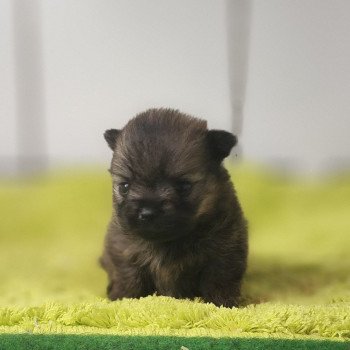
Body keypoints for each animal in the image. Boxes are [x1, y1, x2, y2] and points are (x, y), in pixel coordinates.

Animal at [100, 107, 249, 306]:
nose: (147, 212)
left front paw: (223, 302)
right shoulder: (123, 250)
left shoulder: (225, 248)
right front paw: (122, 298)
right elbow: (129, 276)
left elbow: (219, 278)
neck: (166, 242)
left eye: (183, 187)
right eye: (124, 187)